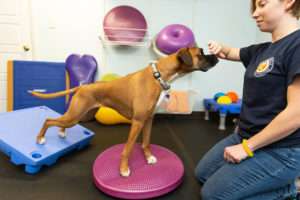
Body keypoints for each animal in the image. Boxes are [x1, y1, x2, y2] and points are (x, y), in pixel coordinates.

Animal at [31, 47, 218, 177]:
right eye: (201, 53)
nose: (216, 56)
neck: (157, 76)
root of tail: (83, 87)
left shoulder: (148, 120)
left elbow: (146, 142)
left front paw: (148, 157)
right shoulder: (137, 122)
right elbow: (127, 149)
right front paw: (124, 169)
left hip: (77, 116)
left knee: (60, 122)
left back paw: (62, 133)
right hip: (74, 116)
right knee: (49, 120)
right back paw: (40, 138)